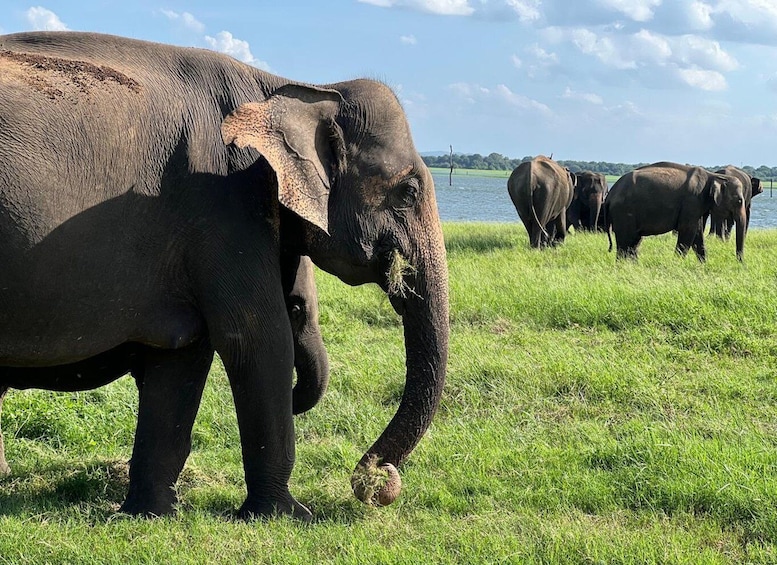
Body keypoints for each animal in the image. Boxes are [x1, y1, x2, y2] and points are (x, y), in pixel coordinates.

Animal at [0, 31, 449, 520]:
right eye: (407, 192)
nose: (377, 483)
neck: (291, 88)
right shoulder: (223, 199)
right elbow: (256, 338)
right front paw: (287, 516)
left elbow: (182, 353)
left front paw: (150, 514)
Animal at [604, 161, 746, 261]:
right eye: (739, 201)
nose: (740, 263)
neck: (714, 176)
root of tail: (610, 195)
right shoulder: (692, 201)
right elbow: (688, 232)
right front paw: (676, 264)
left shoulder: (696, 206)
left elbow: (698, 233)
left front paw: (703, 265)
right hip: (623, 212)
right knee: (625, 242)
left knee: (634, 242)